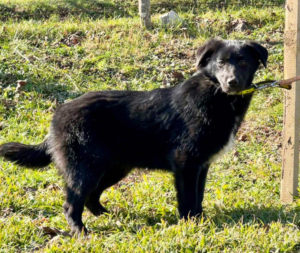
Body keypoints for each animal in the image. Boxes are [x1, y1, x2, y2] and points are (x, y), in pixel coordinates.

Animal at [0, 39, 268, 235]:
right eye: (221, 62)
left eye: (243, 62)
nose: (232, 83)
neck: (216, 95)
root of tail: (57, 116)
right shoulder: (186, 164)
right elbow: (187, 200)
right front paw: (190, 225)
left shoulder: (201, 166)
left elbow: (198, 198)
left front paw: (200, 221)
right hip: (85, 170)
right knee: (71, 205)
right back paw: (81, 233)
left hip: (113, 168)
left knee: (91, 197)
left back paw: (107, 216)